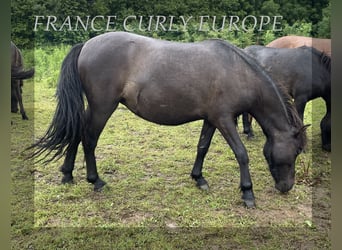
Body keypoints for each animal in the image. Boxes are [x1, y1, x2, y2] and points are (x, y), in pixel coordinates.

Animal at [30, 31, 308, 207]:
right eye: (295, 152)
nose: (286, 187)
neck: (237, 71)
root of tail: (86, 45)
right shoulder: (225, 120)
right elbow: (242, 154)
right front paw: (248, 193)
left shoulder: (212, 119)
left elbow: (202, 147)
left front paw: (199, 178)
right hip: (102, 107)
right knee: (89, 139)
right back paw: (95, 181)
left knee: (77, 133)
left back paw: (67, 175)